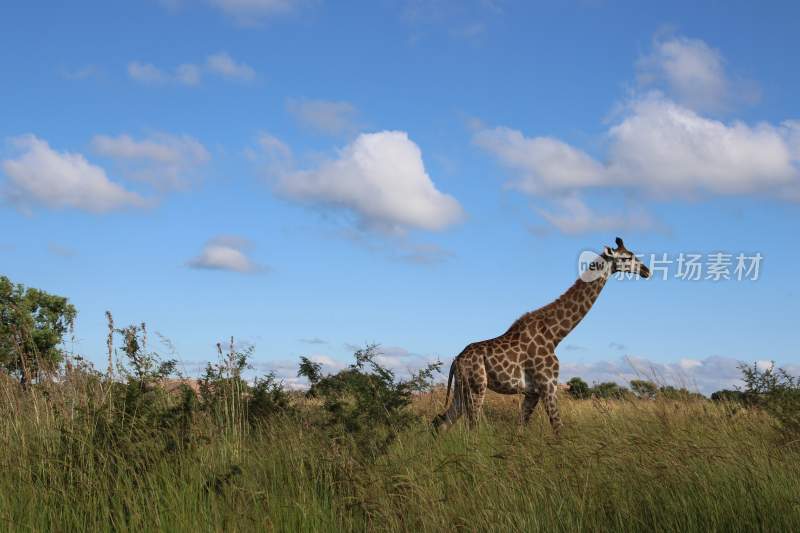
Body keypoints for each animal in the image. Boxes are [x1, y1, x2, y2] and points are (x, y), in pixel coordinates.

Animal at [432, 239, 648, 434]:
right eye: (626, 257)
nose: (646, 270)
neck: (555, 335)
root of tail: (456, 360)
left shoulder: (532, 393)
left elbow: (520, 429)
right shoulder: (548, 385)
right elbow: (558, 429)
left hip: (462, 388)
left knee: (442, 422)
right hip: (477, 386)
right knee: (472, 428)